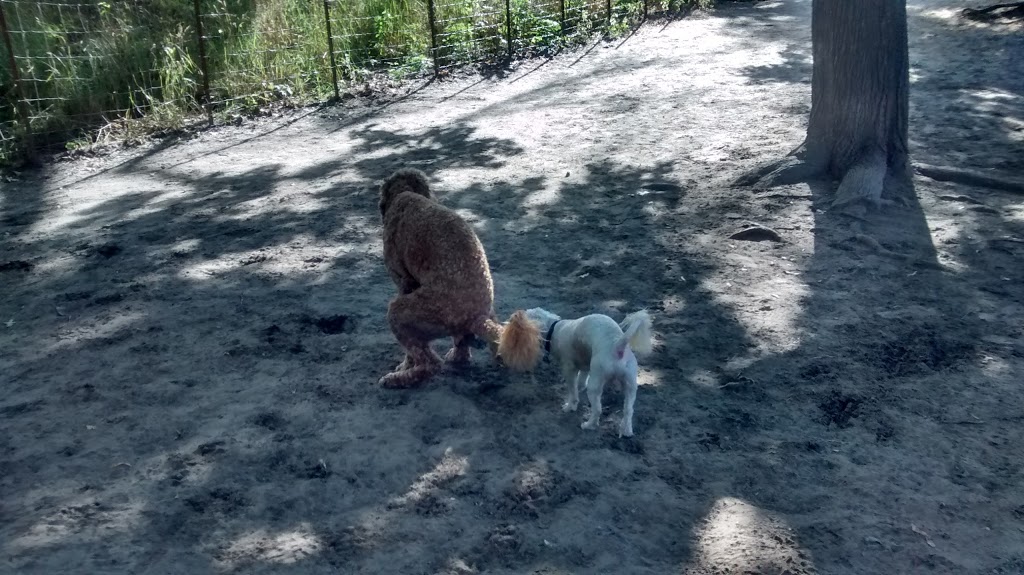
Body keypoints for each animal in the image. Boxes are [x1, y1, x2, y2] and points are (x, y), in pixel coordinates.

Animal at [374, 167, 536, 386]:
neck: (405, 193)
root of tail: (475, 317)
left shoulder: (404, 283)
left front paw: (405, 365)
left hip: (403, 311)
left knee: (431, 364)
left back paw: (397, 379)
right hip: (485, 318)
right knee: (469, 347)